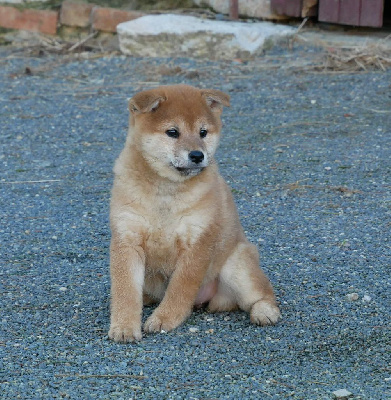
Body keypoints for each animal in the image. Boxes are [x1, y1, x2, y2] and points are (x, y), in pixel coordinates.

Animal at [108, 85, 280, 344]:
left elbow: (180, 288)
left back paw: (265, 312)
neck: (166, 192)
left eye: (203, 132)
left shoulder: (198, 241)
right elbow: (125, 291)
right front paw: (124, 326)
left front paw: (164, 319)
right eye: (172, 132)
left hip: (237, 263)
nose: (198, 155)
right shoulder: (127, 238)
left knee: (264, 293)